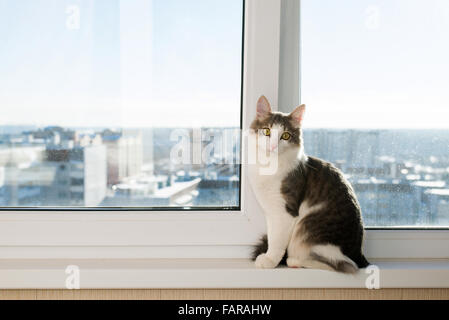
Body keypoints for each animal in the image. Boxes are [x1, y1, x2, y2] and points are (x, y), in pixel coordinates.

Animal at [248, 94, 368, 272]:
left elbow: (277, 241)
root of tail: (359, 254)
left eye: (285, 135)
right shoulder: (270, 211)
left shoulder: (285, 211)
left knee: (342, 264)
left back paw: (294, 261)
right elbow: (271, 235)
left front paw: (269, 260)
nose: (273, 146)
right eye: (267, 131)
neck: (268, 167)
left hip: (310, 233)